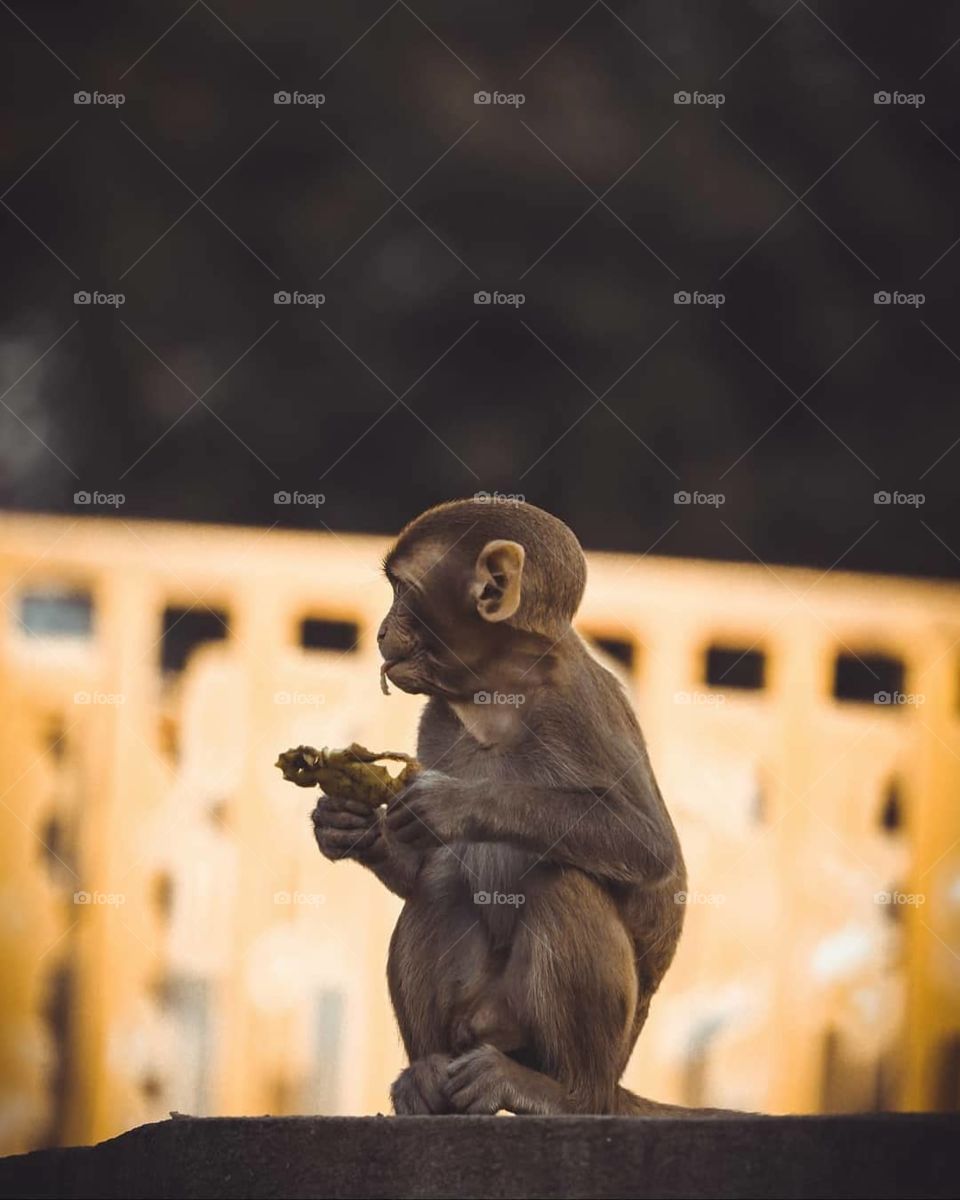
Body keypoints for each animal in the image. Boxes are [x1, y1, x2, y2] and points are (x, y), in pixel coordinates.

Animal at [310, 498, 697, 1116]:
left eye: (402, 589)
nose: (381, 630)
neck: (496, 694)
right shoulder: (436, 718)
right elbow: (420, 865)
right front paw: (347, 826)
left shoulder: (575, 709)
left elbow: (647, 846)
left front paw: (454, 803)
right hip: (479, 1018)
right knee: (441, 883)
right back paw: (428, 1076)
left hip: (564, 1042)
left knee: (561, 882)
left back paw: (562, 1094)